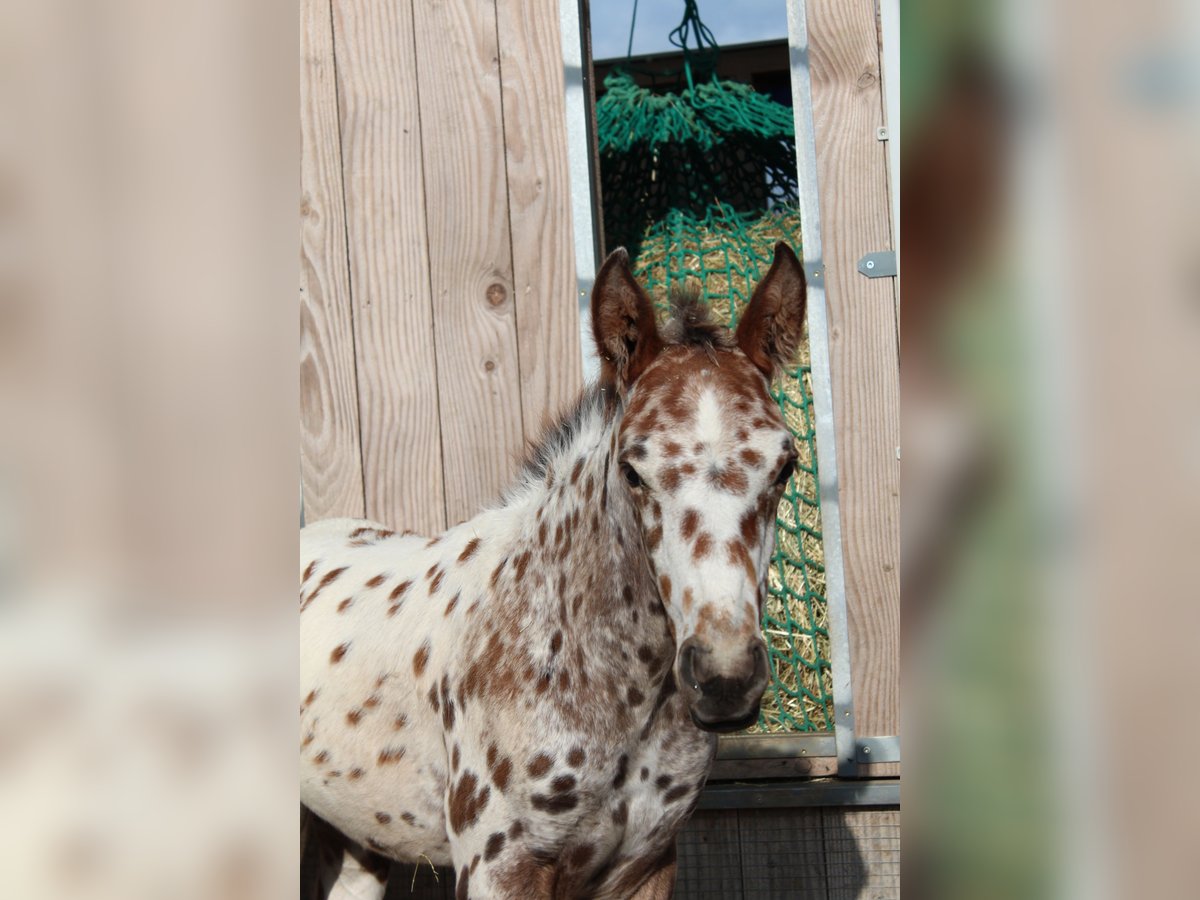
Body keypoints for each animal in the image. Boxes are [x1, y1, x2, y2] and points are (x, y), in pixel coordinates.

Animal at [300, 243, 806, 897]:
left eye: (785, 466)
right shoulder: (501, 869)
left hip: (358, 841)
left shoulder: (645, 867)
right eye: (633, 469)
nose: (724, 676)